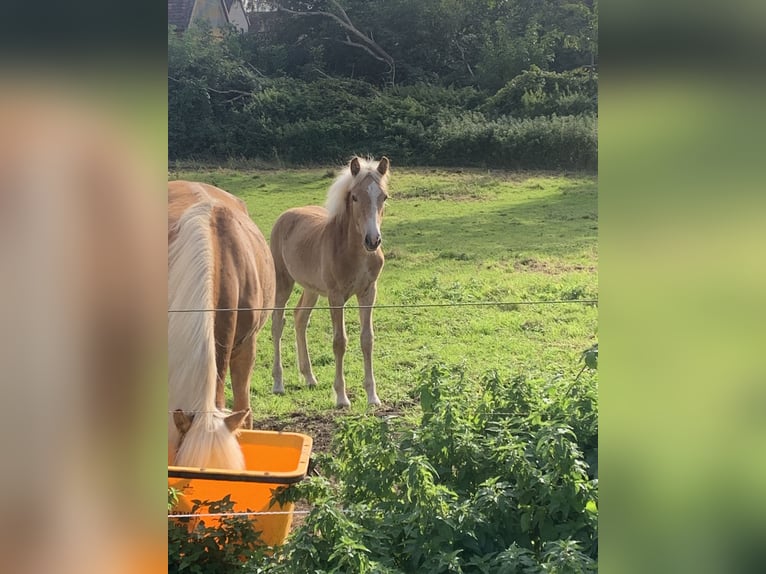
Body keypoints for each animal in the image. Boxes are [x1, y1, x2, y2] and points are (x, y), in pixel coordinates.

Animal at [270, 158, 390, 410]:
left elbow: (367, 339)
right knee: (278, 323)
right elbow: (339, 342)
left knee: (300, 318)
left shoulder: (368, 293)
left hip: (311, 289)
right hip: (283, 281)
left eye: (383, 197)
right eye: (354, 197)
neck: (355, 252)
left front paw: (373, 397)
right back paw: (278, 383)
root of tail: (286, 215)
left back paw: (309, 377)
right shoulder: (336, 296)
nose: (373, 240)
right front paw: (342, 398)